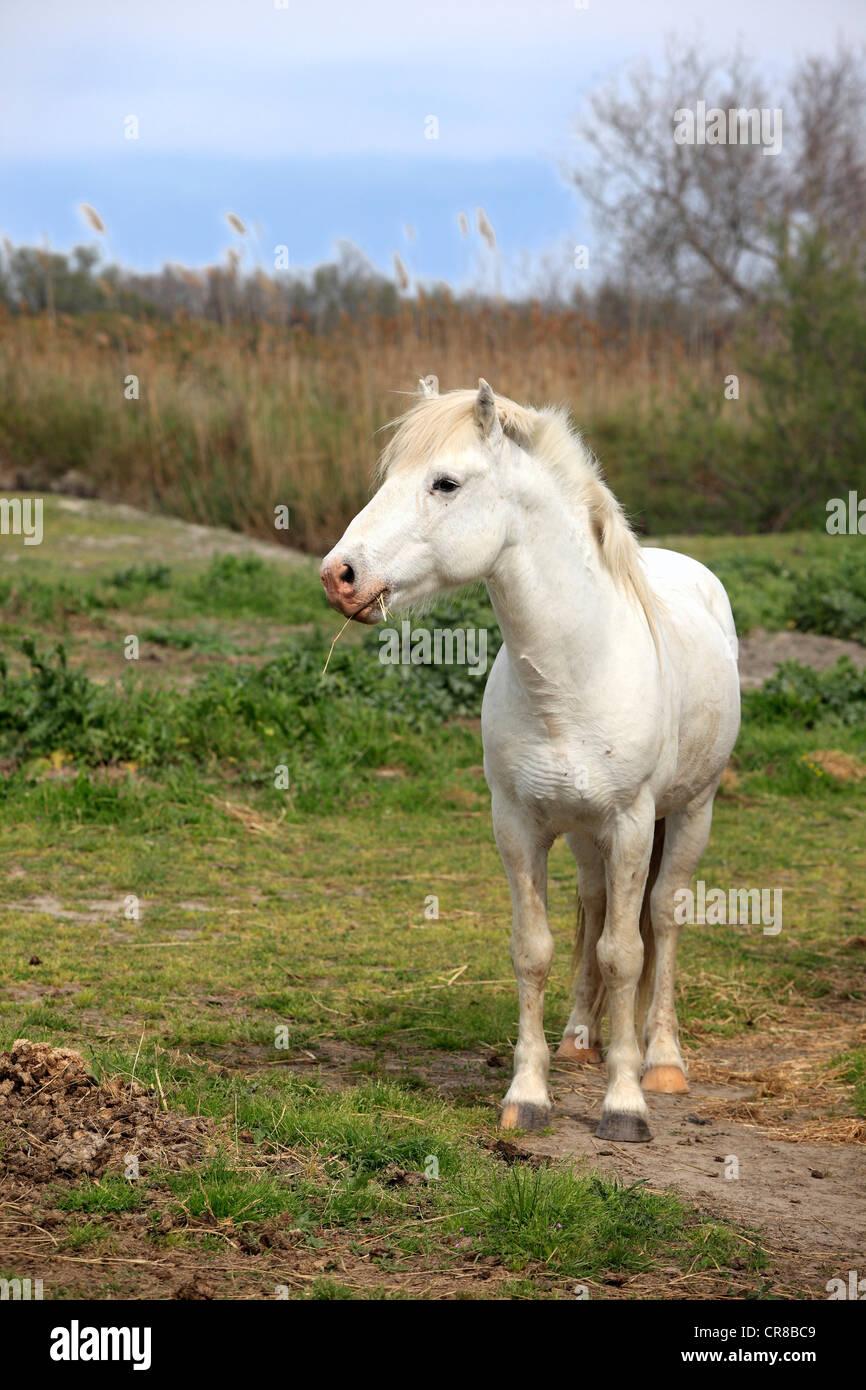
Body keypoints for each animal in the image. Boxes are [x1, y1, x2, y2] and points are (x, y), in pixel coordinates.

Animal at [322, 378, 739, 1139]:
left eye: (446, 482)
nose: (340, 576)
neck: (572, 676)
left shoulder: (631, 825)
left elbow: (627, 954)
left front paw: (624, 1104)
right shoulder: (519, 826)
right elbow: (536, 950)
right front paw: (528, 1094)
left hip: (691, 814)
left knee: (663, 916)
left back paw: (662, 1061)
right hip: (582, 835)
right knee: (596, 906)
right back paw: (580, 1038)